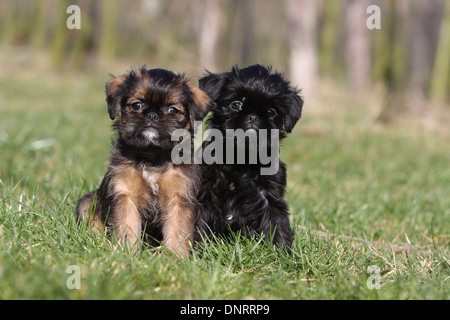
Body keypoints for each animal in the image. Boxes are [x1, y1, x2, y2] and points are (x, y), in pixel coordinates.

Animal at [75, 66, 211, 256]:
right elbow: (127, 227)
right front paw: (127, 253)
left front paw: (174, 258)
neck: (152, 157)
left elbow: (178, 231)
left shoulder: (179, 198)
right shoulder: (125, 195)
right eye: (136, 105)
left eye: (173, 110)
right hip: (87, 201)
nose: (152, 115)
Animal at [193, 63, 302, 251]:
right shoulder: (203, 193)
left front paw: (281, 253)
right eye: (236, 104)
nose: (253, 117)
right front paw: (196, 252)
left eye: (271, 112)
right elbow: (198, 225)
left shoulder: (270, 197)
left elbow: (277, 223)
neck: (240, 156)